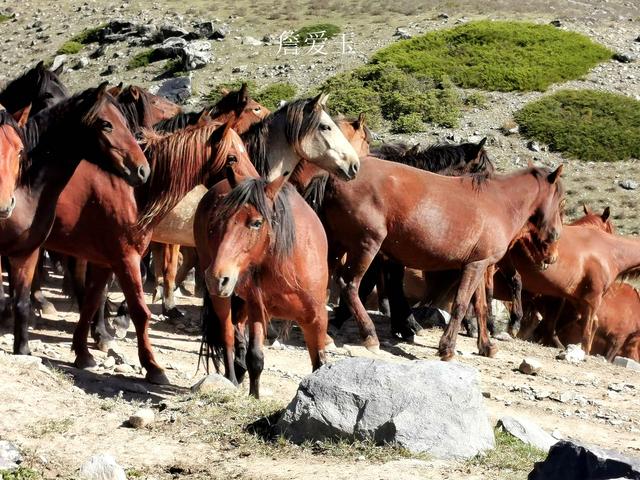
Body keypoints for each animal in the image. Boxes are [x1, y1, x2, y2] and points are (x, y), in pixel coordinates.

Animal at [196, 167, 330, 396]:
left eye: (257, 223)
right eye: (218, 222)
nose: (216, 278)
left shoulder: (317, 318)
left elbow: (319, 365)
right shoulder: (257, 308)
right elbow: (256, 359)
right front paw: (254, 396)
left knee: (238, 328)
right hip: (223, 297)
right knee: (228, 334)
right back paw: (232, 378)